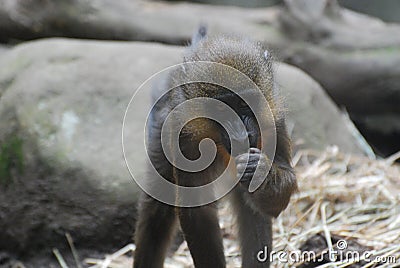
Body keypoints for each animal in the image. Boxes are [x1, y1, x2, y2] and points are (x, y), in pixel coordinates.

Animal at [134, 27, 296, 268]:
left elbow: (281, 193)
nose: (241, 133)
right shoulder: (183, 133)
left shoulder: (273, 122)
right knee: (156, 210)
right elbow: (197, 211)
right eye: (221, 108)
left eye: (244, 103)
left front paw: (258, 171)